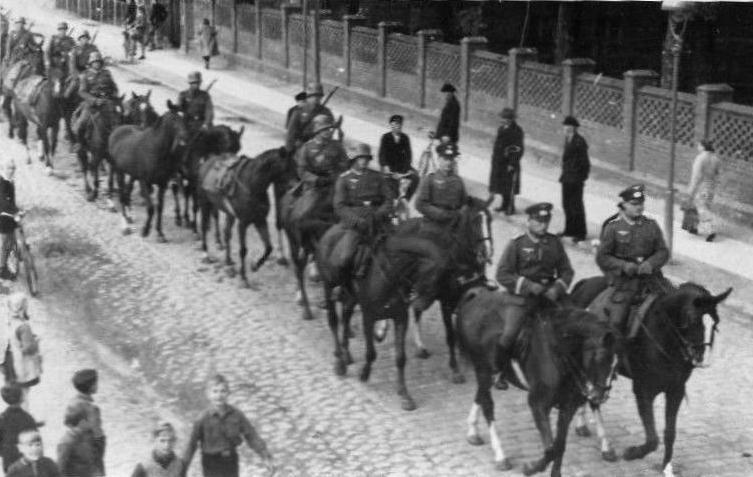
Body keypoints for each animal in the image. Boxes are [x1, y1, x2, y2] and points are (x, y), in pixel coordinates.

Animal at [106, 101, 187, 242]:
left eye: (183, 118)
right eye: (174, 120)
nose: (183, 140)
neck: (156, 150)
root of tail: (117, 129)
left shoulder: (162, 184)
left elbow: (160, 207)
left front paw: (160, 233)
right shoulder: (144, 181)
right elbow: (151, 208)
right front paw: (145, 230)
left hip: (131, 174)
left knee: (126, 193)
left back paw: (129, 216)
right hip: (119, 171)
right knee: (122, 195)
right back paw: (125, 225)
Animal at [197, 145, 296, 286]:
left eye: (296, 165)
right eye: (286, 168)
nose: (298, 186)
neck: (252, 184)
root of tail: (206, 163)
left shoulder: (260, 220)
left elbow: (269, 247)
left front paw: (255, 266)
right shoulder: (243, 223)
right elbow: (243, 250)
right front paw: (243, 277)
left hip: (229, 214)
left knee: (227, 233)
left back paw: (228, 260)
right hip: (205, 204)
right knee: (204, 226)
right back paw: (206, 254)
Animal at [316, 196, 494, 410]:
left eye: (490, 220)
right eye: (475, 222)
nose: (486, 253)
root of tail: (331, 231)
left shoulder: (405, 314)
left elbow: (401, 357)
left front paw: (405, 395)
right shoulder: (371, 315)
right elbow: (371, 352)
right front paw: (365, 373)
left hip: (353, 295)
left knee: (347, 314)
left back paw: (349, 352)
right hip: (330, 283)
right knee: (334, 320)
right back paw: (341, 358)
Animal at [456, 288, 620, 474]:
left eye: (616, 364)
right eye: (600, 358)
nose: (600, 396)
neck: (560, 353)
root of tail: (477, 295)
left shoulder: (567, 407)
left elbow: (559, 446)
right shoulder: (538, 404)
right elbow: (551, 449)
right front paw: (531, 467)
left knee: (480, 395)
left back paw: (472, 431)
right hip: (483, 370)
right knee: (487, 405)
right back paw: (500, 455)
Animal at [568, 276, 728, 476]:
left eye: (715, 322)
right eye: (690, 319)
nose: (701, 358)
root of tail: (585, 283)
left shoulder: (676, 391)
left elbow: (669, 433)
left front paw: (667, 467)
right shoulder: (643, 389)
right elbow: (652, 439)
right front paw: (632, 453)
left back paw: (582, 425)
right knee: (593, 398)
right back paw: (606, 447)